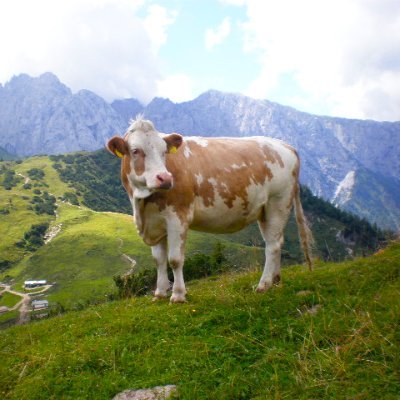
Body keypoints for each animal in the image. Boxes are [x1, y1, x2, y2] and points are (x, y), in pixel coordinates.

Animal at [108, 117, 314, 302]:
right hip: (265, 210)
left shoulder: (178, 217)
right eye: (135, 151)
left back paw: (263, 285)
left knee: (272, 245)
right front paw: (159, 294)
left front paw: (178, 295)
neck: (142, 203)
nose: (165, 178)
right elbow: (159, 260)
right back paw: (276, 280)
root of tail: (286, 145)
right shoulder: (155, 222)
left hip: (278, 202)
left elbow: (174, 259)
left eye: (164, 151)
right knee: (277, 241)